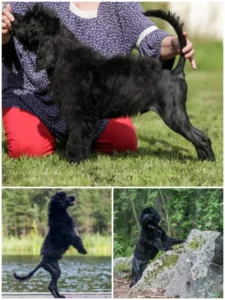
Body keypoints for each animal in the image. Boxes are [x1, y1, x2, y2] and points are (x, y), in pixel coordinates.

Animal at [11, 3, 215, 163]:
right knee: (201, 136)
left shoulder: (78, 113)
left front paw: (74, 159)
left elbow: (77, 137)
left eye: (31, 20)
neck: (63, 56)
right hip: (176, 116)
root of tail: (175, 73)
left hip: (173, 115)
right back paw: (204, 160)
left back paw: (209, 161)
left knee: (201, 138)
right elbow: (80, 137)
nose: (13, 21)